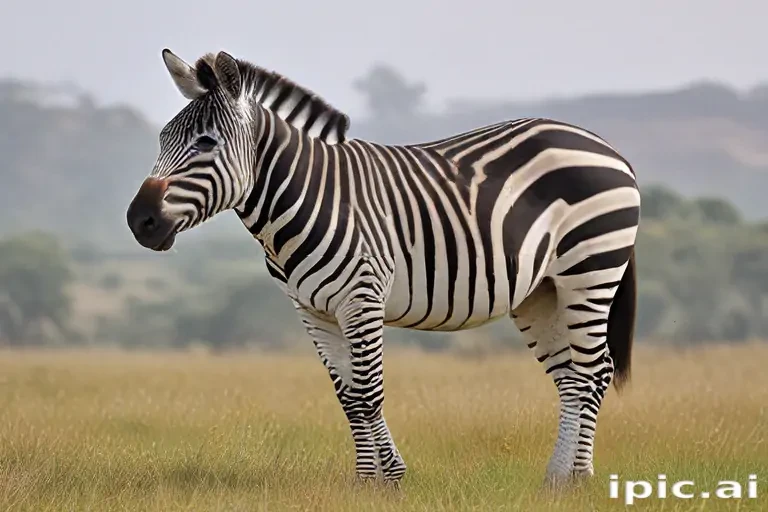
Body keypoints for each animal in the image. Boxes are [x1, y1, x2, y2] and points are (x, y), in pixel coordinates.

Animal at [126, 49, 640, 488]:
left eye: (205, 143)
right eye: (162, 139)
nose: (139, 221)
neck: (307, 197)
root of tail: (603, 145)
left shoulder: (361, 298)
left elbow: (370, 392)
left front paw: (389, 481)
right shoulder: (312, 311)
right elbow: (349, 398)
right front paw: (366, 480)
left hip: (590, 272)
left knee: (594, 371)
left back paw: (579, 479)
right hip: (541, 292)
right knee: (570, 378)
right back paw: (556, 479)